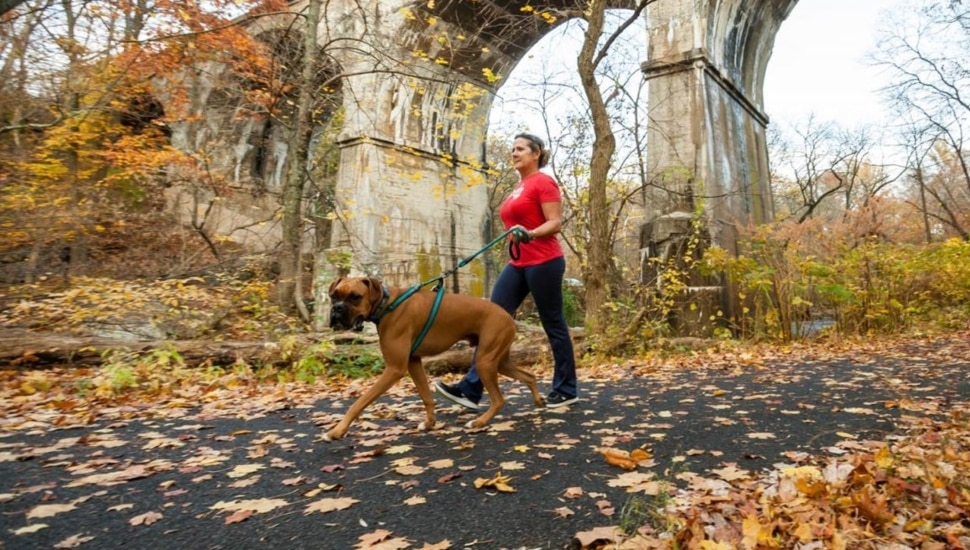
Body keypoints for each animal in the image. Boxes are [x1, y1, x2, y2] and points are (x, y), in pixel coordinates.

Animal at [324, 278, 544, 442]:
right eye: (334, 296)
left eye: (355, 297)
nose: (337, 308)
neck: (387, 304)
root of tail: (507, 315)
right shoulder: (413, 362)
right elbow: (426, 397)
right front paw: (429, 423)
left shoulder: (395, 369)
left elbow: (359, 402)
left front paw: (336, 431)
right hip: (499, 361)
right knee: (529, 376)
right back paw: (539, 401)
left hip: (485, 361)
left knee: (499, 399)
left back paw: (479, 423)